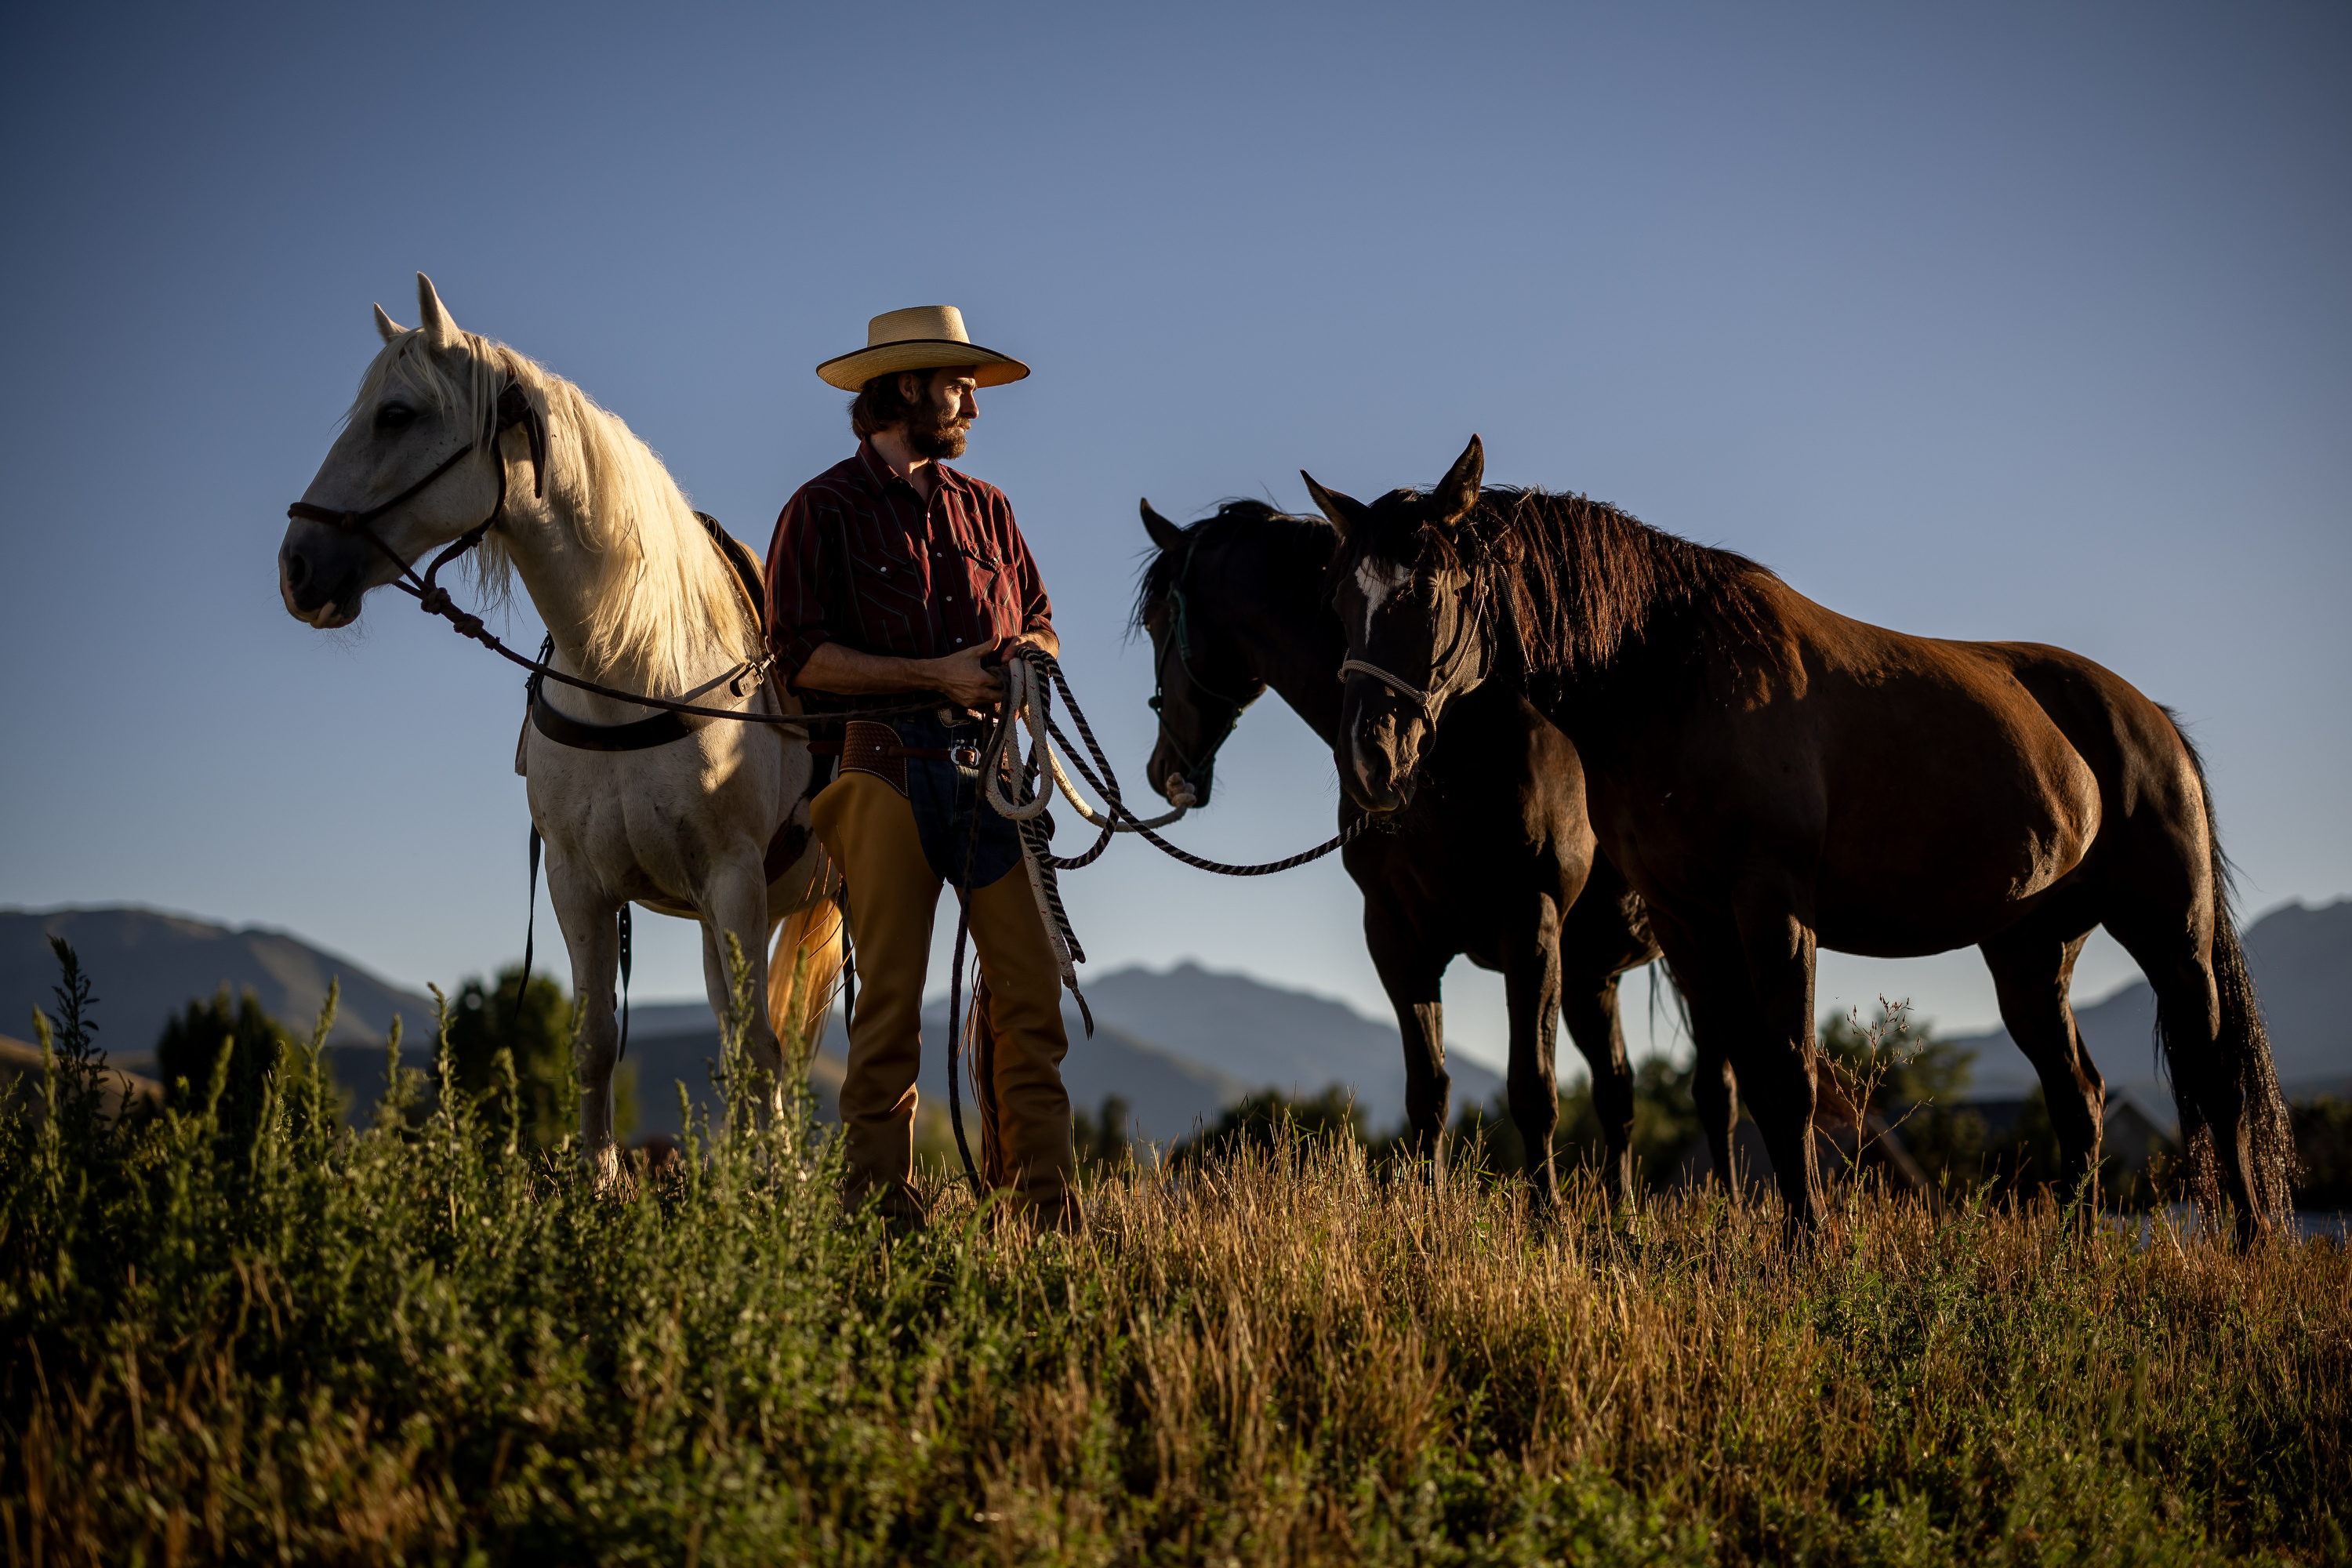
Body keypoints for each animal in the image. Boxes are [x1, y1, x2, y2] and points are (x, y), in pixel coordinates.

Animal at [278, 274, 841, 1180]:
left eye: (396, 413)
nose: (297, 567)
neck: (633, 666)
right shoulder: (583, 884)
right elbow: (597, 1041)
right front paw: (602, 1182)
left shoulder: (733, 879)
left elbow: (755, 1047)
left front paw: (766, 1194)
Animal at [1133, 497, 1665, 1203]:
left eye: (1155, 621)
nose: (1162, 770)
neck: (1462, 740)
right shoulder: (1396, 935)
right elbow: (1429, 1094)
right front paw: (1429, 1210)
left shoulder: (1532, 925)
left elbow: (1534, 1091)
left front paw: (1546, 1217)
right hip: (1590, 976)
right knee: (1619, 1090)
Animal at [1308, 435, 2292, 1237]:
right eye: (1341, 600)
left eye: (1425, 588)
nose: (1371, 759)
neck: (1671, 673)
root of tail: (2150, 718)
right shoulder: (1691, 925)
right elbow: (1748, 1082)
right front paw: (1789, 1236)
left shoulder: (1773, 910)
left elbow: (1788, 1076)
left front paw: (1811, 1243)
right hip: (2031, 952)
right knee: (2079, 1096)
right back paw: (2075, 1252)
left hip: (2172, 935)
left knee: (2215, 1078)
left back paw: (2248, 1251)